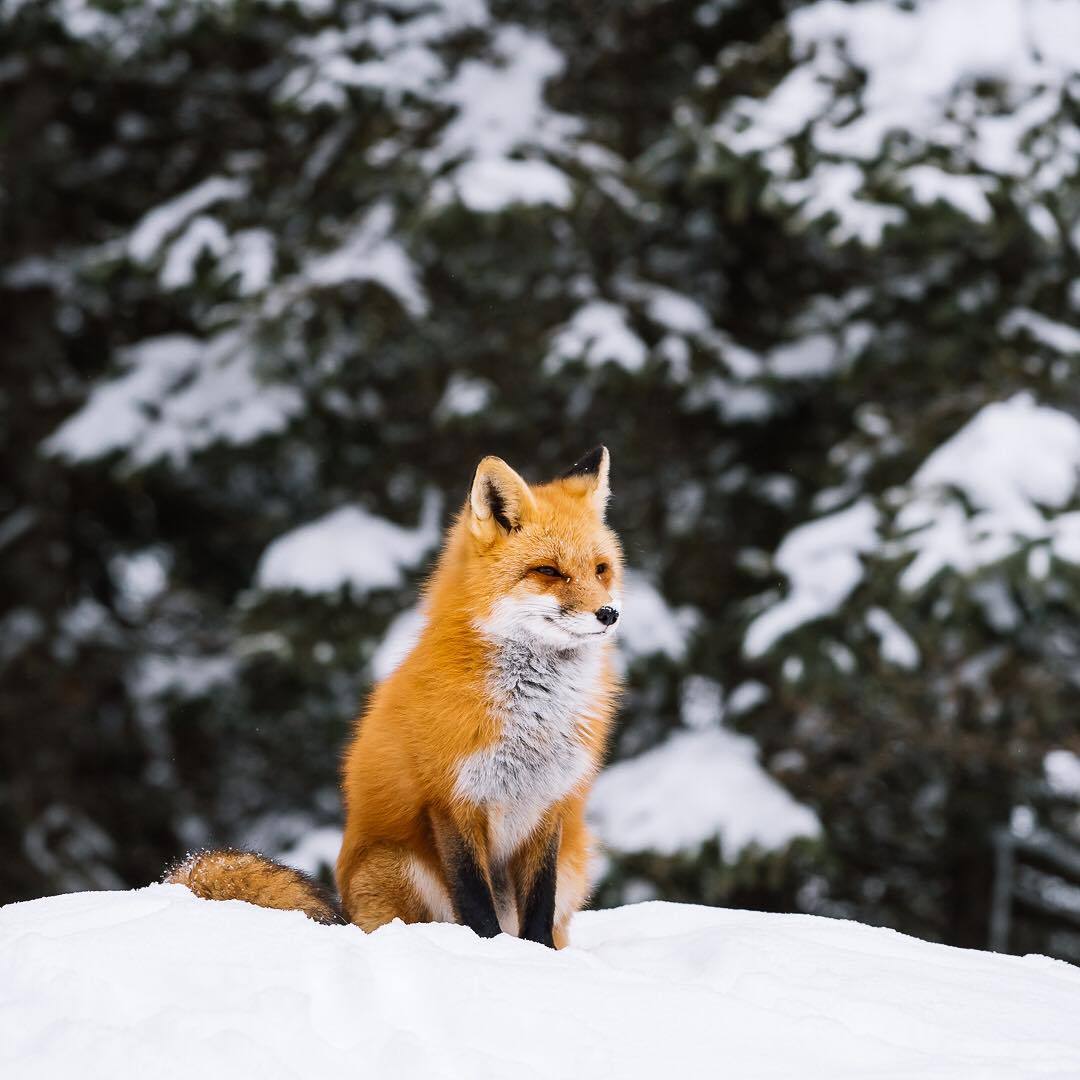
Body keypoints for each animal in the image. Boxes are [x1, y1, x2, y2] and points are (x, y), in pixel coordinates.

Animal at [168, 444, 626, 946]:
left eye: (600, 570)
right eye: (548, 571)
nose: (609, 613)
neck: (533, 718)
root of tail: (349, 914)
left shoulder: (549, 806)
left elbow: (539, 908)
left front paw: (537, 955)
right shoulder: (451, 802)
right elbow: (475, 901)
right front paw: (491, 951)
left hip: (575, 862)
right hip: (396, 865)